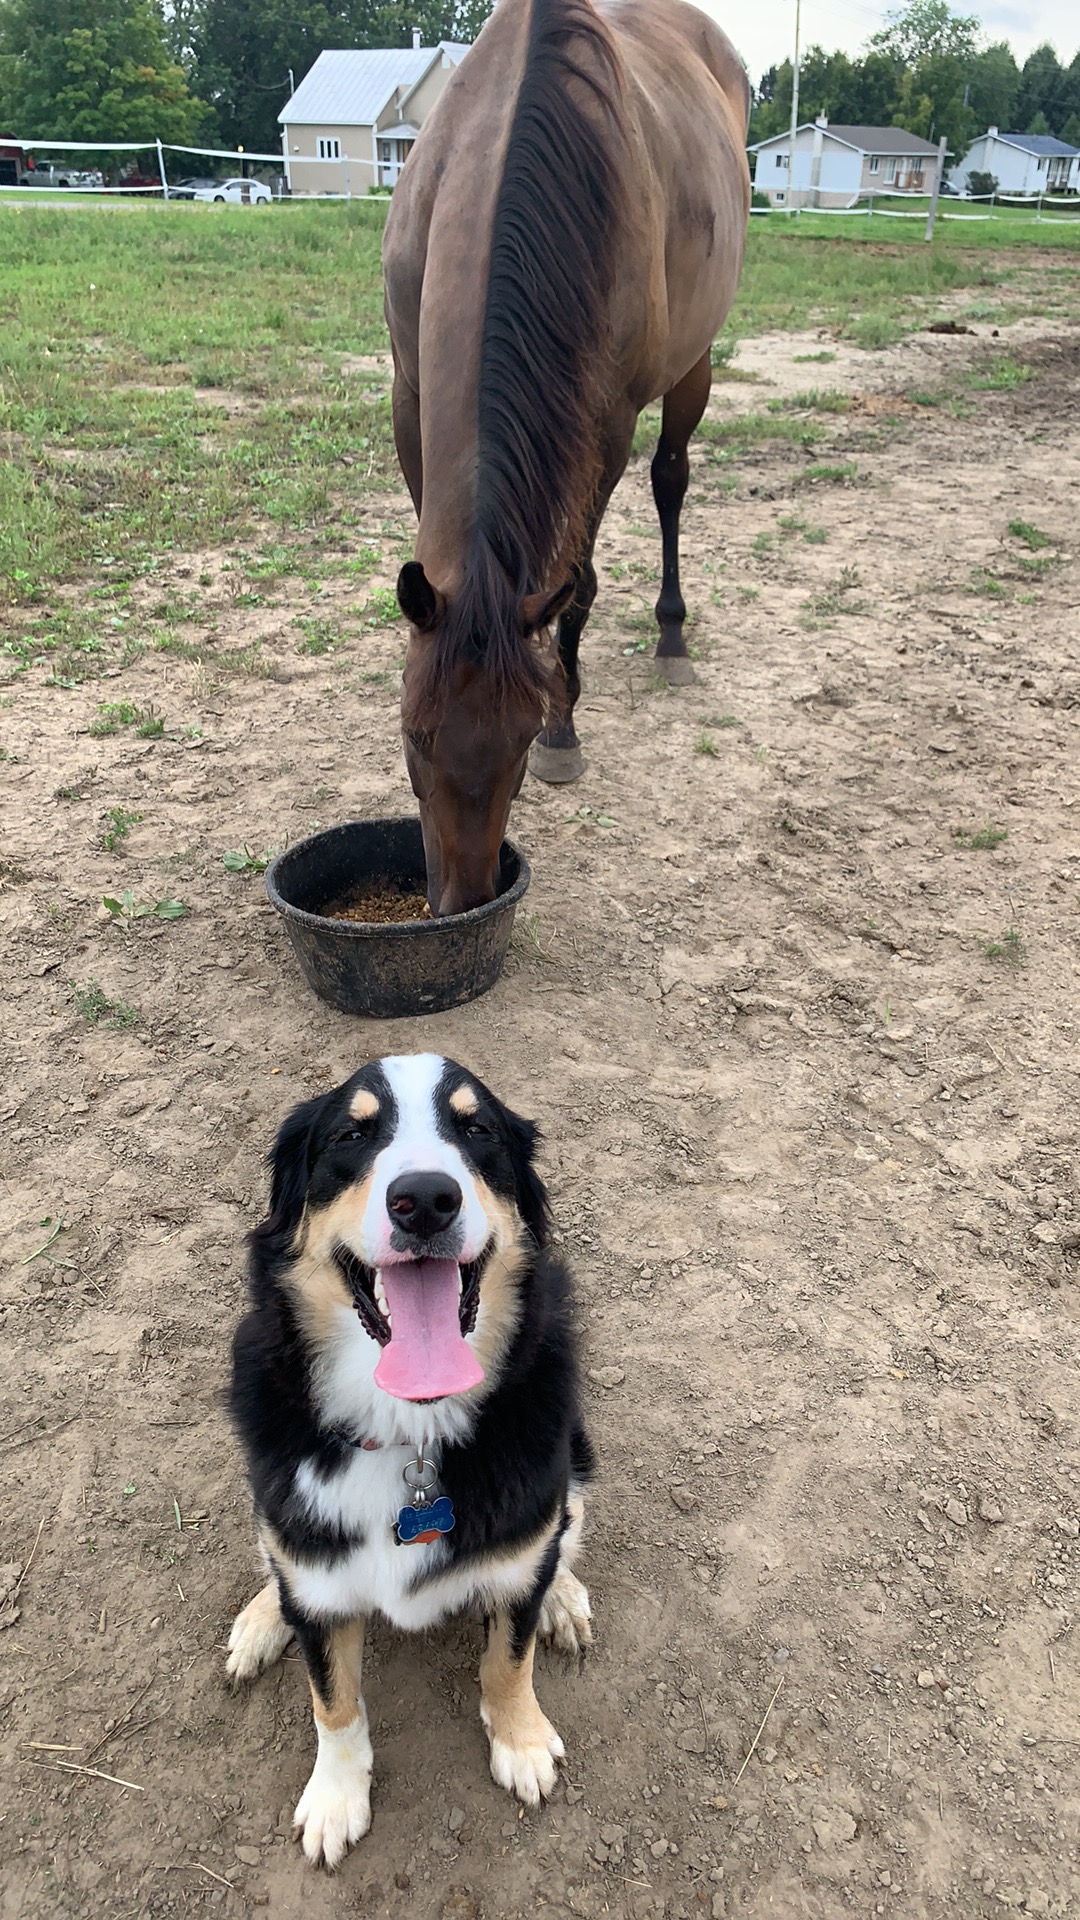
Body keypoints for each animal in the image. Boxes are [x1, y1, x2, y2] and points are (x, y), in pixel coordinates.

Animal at [226, 1053, 594, 1868]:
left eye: (477, 1130)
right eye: (351, 1135)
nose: (424, 1199)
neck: (409, 1433)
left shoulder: (529, 1524)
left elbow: (509, 1654)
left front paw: (521, 1741)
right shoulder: (310, 1563)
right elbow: (331, 1699)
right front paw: (336, 1797)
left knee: (567, 1528)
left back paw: (563, 1595)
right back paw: (263, 1617)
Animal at [383, 0, 750, 915]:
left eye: (517, 741)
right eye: (414, 736)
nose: (467, 899)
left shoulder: (607, 424)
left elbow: (574, 582)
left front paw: (565, 727)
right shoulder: (408, 392)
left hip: (692, 368)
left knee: (670, 482)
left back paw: (671, 637)